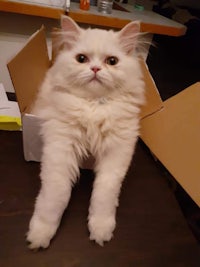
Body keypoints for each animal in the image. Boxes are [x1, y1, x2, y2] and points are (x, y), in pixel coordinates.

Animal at [26, 15, 145, 249]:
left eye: (112, 61)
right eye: (81, 59)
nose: (96, 69)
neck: (94, 105)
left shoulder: (117, 153)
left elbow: (103, 196)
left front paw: (100, 229)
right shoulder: (60, 148)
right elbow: (55, 196)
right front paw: (40, 234)